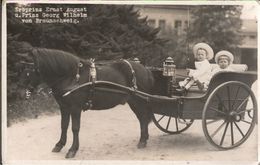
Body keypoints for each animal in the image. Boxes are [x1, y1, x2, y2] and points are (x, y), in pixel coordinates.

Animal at [17, 48, 155, 159]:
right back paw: (144, 139)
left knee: (143, 118)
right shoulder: (64, 107)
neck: (72, 76)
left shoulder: (75, 108)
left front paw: (72, 150)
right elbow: (64, 125)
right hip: (134, 102)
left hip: (139, 101)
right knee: (142, 119)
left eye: (29, 69)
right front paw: (59, 144)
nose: (21, 93)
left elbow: (75, 128)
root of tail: (144, 68)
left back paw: (142, 141)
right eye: (21, 68)